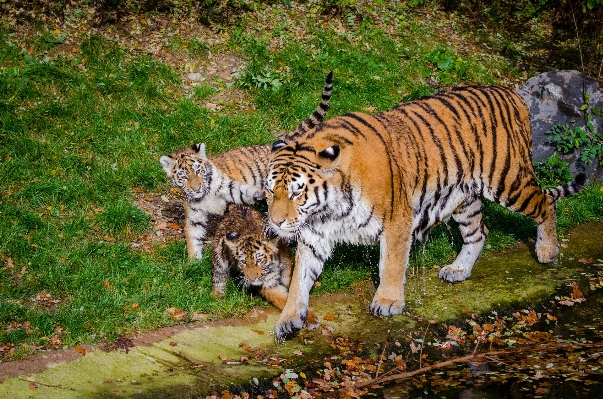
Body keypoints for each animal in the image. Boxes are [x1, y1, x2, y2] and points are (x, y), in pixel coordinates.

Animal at [266, 84, 588, 340]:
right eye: (270, 191)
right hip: (464, 198)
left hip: (508, 181)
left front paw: (388, 302)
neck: (328, 209)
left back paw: (547, 251)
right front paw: (288, 319)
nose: (276, 221)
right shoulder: (314, 236)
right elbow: (299, 280)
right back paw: (458, 270)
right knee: (479, 232)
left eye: (297, 192)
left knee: (546, 203)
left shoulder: (397, 221)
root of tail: (512, 93)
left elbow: (391, 264)